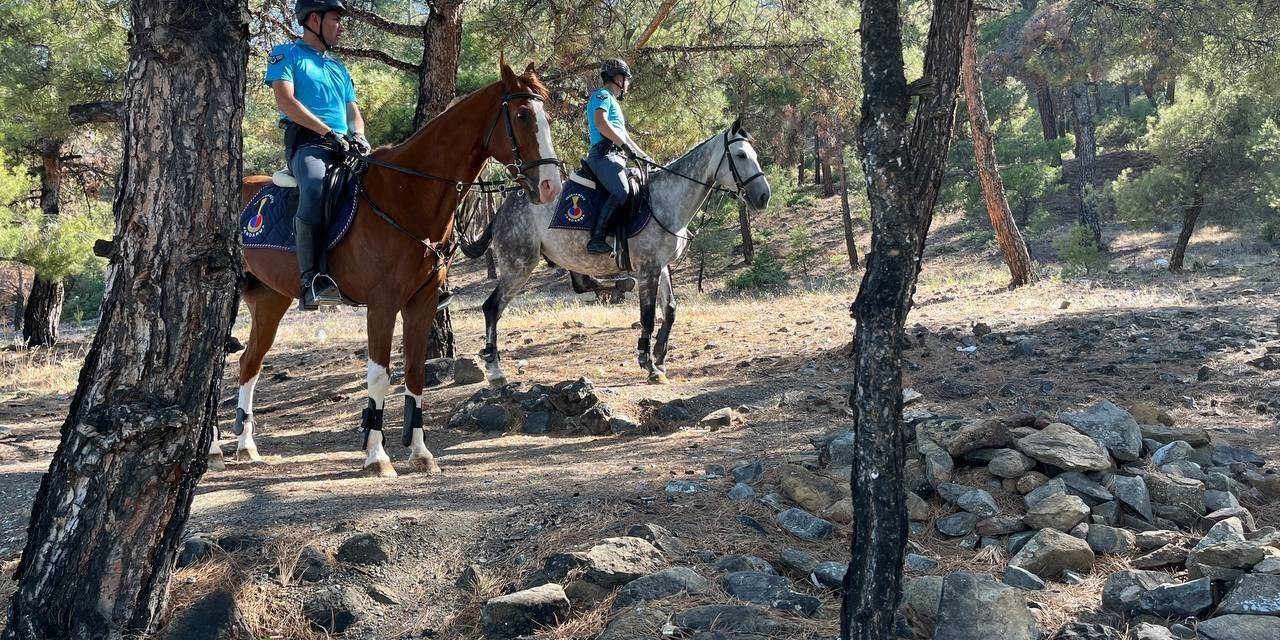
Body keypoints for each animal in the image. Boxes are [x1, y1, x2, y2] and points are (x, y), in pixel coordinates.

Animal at [215, 63, 560, 476]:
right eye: (522, 116)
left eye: (547, 117)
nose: (550, 185)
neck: (407, 194)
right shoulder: (382, 304)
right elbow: (380, 377)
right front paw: (377, 456)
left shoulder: (421, 303)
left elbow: (414, 373)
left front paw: (421, 453)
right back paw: (215, 450)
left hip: (271, 300)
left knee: (250, 363)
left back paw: (246, 446)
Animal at [471, 118, 768, 381]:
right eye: (741, 155)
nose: (764, 196)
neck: (665, 200)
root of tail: (501, 210)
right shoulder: (648, 269)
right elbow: (647, 316)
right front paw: (648, 364)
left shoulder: (660, 266)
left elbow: (670, 309)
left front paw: (659, 356)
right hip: (519, 265)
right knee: (492, 307)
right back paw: (495, 369)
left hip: (563, 258)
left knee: (581, 284)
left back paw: (619, 284)